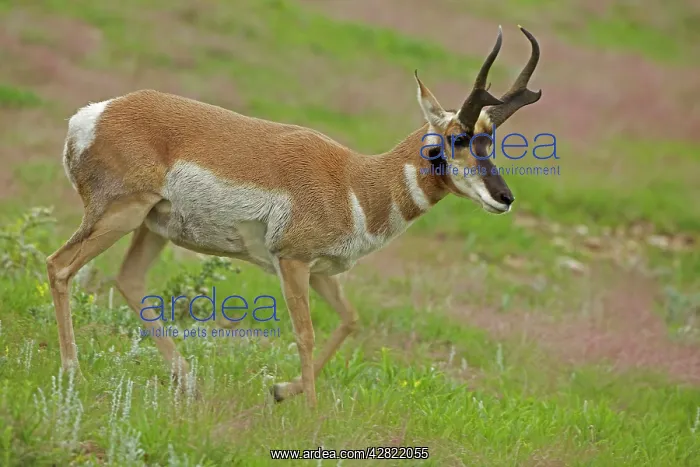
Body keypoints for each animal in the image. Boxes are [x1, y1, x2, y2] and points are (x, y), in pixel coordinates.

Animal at [47, 25, 541, 407]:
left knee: (128, 281)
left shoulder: (322, 271)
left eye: (490, 140)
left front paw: (282, 391)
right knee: (59, 266)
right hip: (121, 216)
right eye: (457, 137)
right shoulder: (292, 262)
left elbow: (350, 320)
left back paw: (187, 383)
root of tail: (91, 116)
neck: (354, 181)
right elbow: (305, 334)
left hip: (152, 227)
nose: (504, 197)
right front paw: (313, 414)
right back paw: (72, 371)